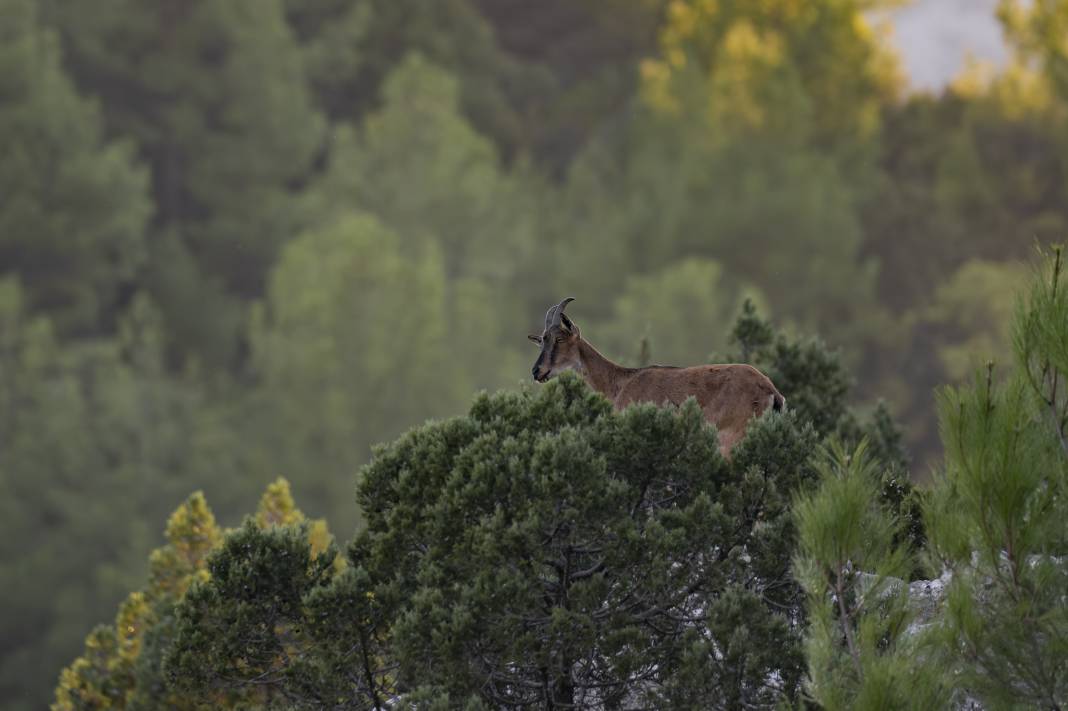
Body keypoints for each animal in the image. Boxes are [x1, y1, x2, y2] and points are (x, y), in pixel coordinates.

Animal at [527, 296, 786, 454]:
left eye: (560, 339)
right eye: (542, 340)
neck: (620, 383)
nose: (537, 371)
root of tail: (771, 391)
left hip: (730, 439)